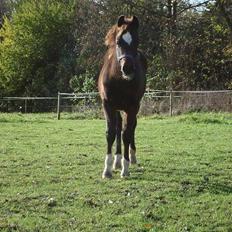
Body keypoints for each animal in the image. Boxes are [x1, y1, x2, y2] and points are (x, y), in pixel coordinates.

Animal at [98, 15, 147, 179]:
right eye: (119, 41)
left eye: (137, 41)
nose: (128, 68)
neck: (119, 79)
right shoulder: (107, 105)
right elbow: (111, 133)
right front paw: (107, 170)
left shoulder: (132, 107)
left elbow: (127, 133)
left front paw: (125, 169)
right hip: (117, 108)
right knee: (119, 127)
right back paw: (117, 161)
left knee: (130, 128)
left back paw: (131, 157)